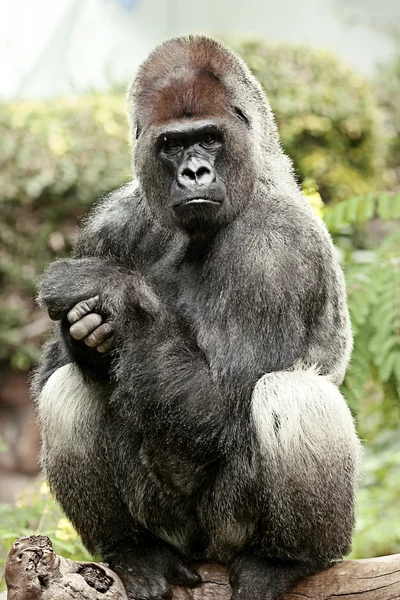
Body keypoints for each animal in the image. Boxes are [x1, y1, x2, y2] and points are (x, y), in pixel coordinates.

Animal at [32, 36, 360, 600]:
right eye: (171, 145)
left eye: (209, 138)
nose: (195, 173)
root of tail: (203, 554)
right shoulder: (109, 223)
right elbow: (51, 374)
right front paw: (87, 338)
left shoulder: (276, 247)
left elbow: (226, 403)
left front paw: (114, 296)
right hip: (174, 531)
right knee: (67, 390)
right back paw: (134, 550)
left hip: (228, 533)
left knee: (288, 392)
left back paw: (288, 560)